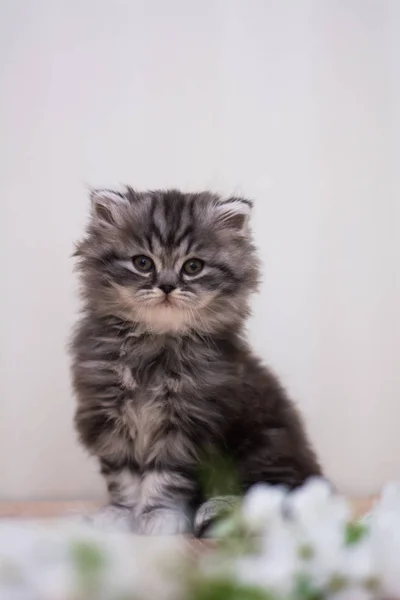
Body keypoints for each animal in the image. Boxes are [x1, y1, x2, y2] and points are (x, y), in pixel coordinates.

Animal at [71, 188, 322, 536]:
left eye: (192, 267)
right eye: (142, 263)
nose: (166, 286)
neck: (154, 347)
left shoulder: (190, 424)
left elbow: (166, 477)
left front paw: (160, 516)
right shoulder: (108, 416)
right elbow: (122, 476)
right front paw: (121, 514)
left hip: (264, 447)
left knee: (271, 497)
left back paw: (216, 510)